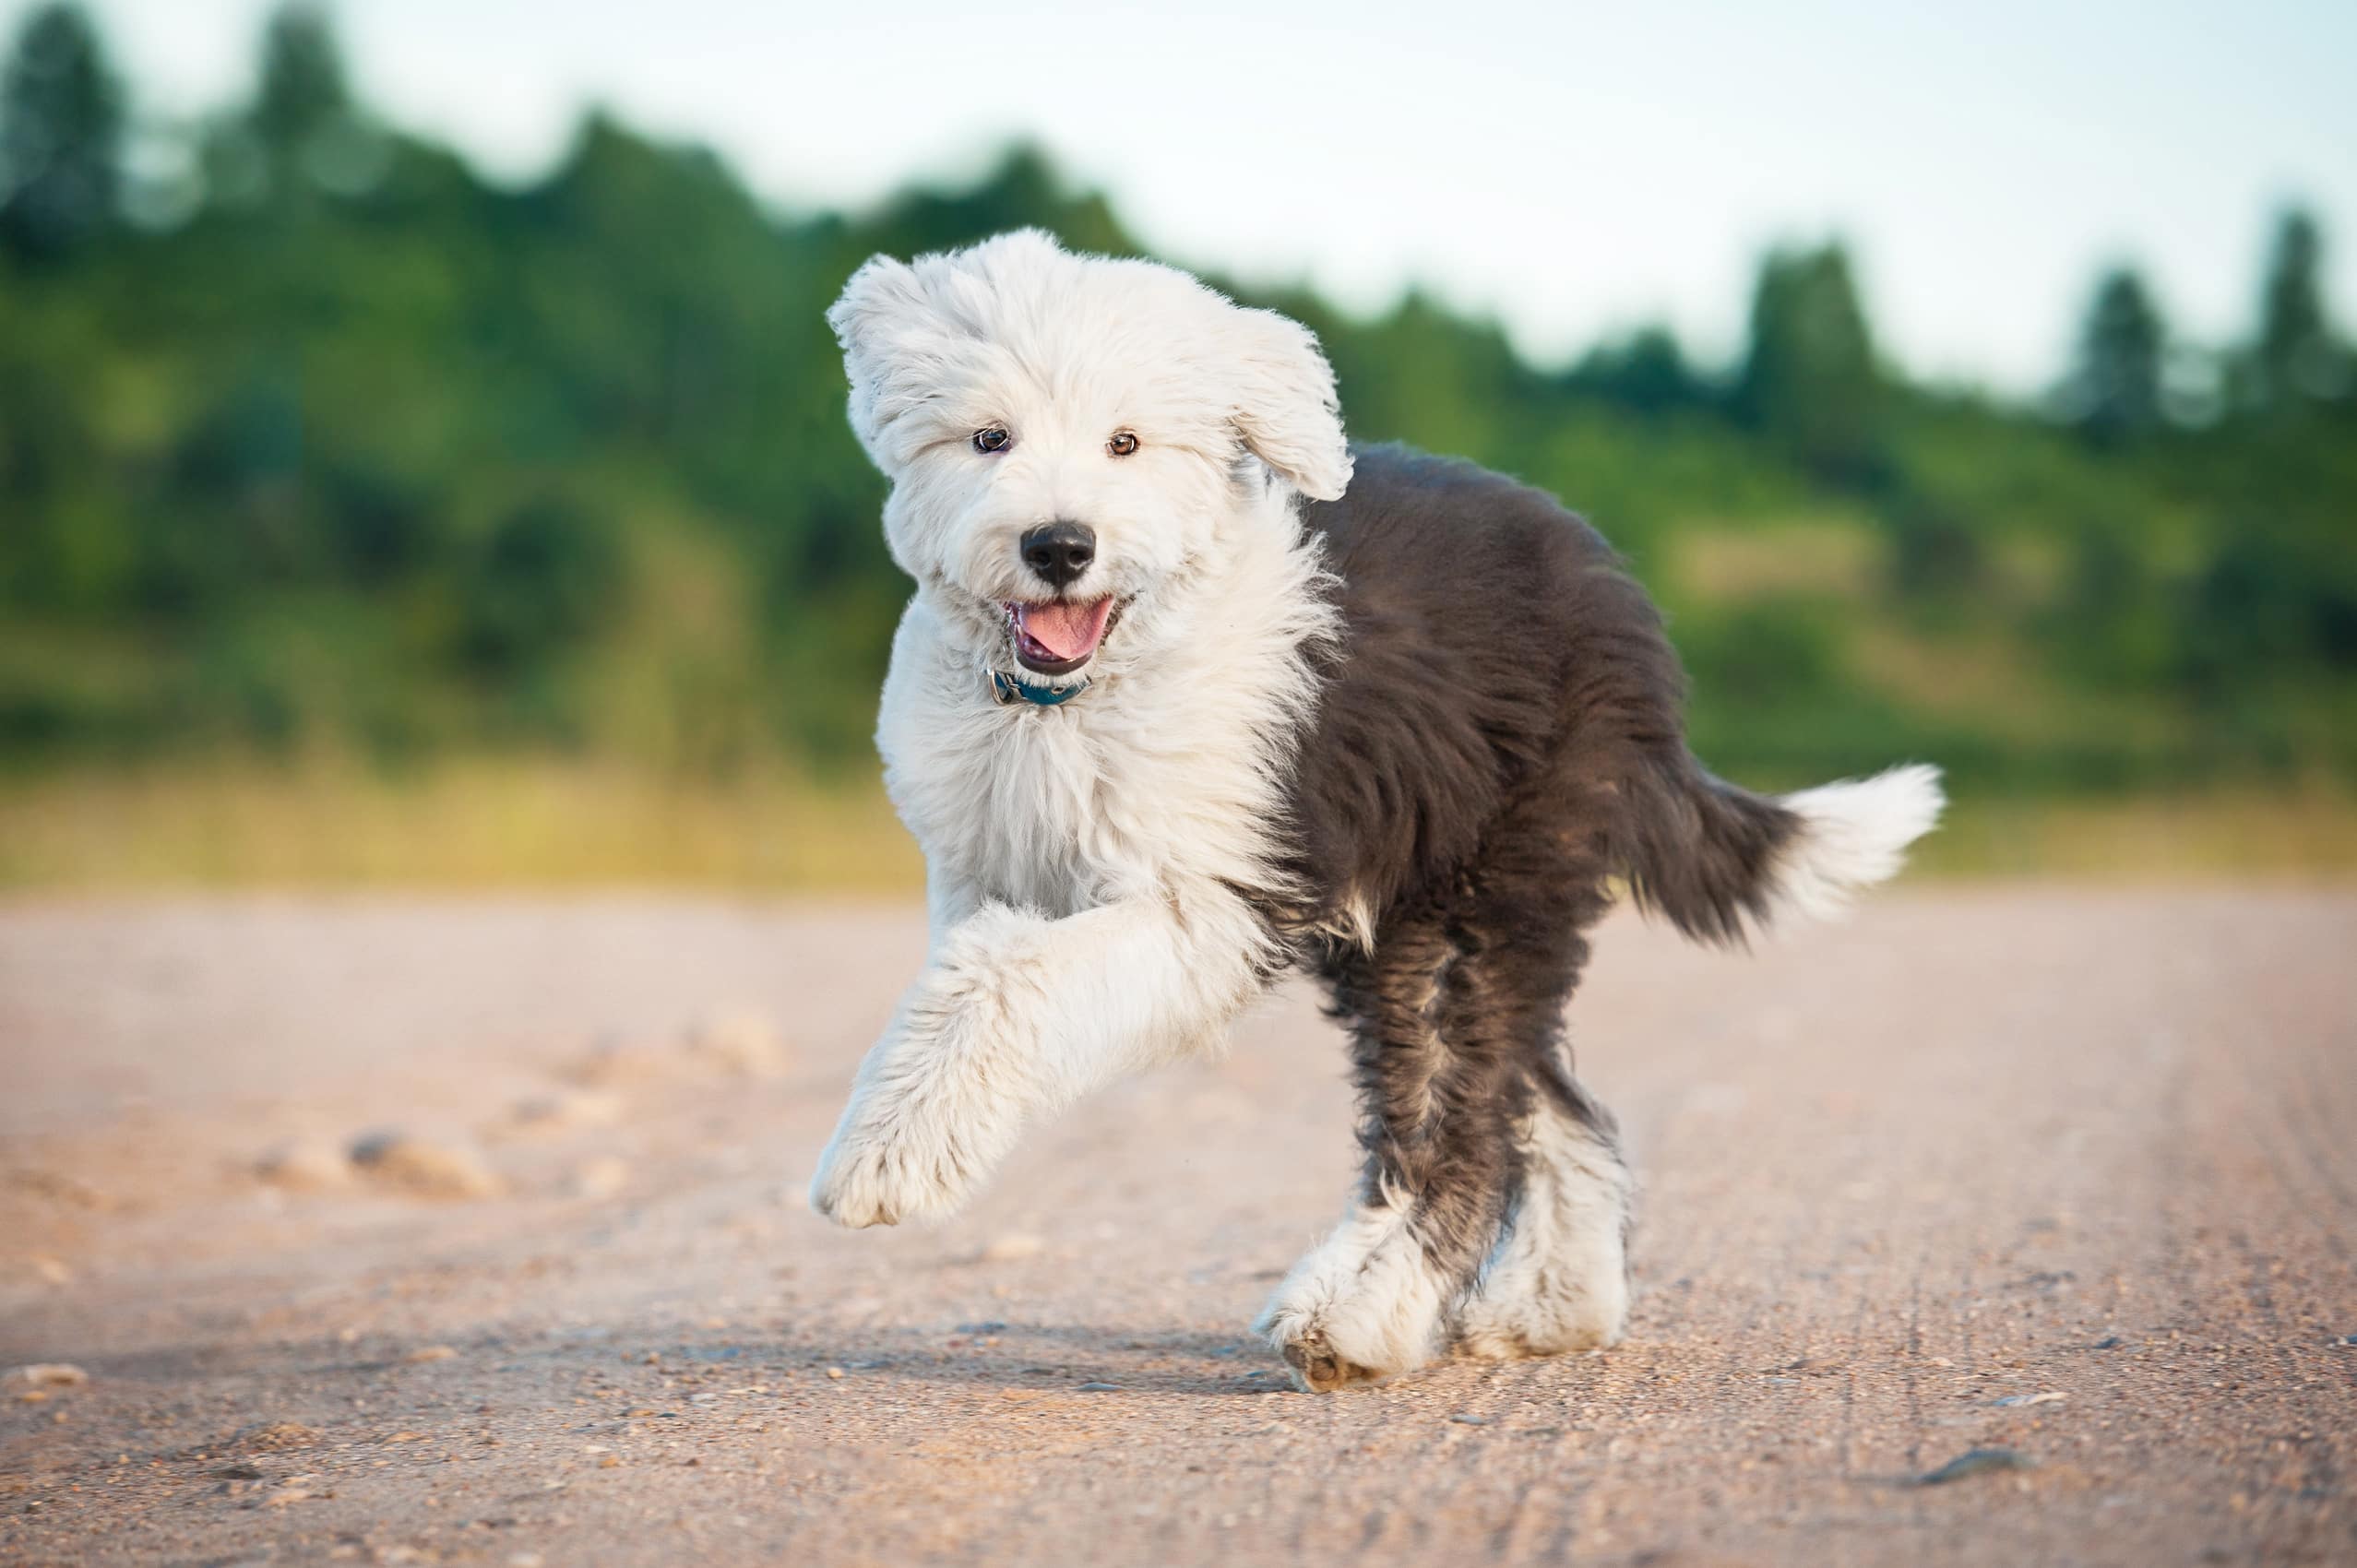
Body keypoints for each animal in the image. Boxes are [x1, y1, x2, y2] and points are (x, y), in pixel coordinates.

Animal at [801, 226, 1942, 1386]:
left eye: (1126, 442)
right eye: (988, 436)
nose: (1059, 545)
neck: (1070, 702)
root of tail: (1622, 615)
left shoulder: (1211, 899)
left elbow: (1005, 977)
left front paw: (882, 1160)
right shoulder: (980, 865)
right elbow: (964, 978)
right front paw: (905, 1128)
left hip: (1476, 894)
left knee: (1462, 1120)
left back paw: (1353, 1314)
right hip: (1426, 908)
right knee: (1543, 1100)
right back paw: (1552, 1305)